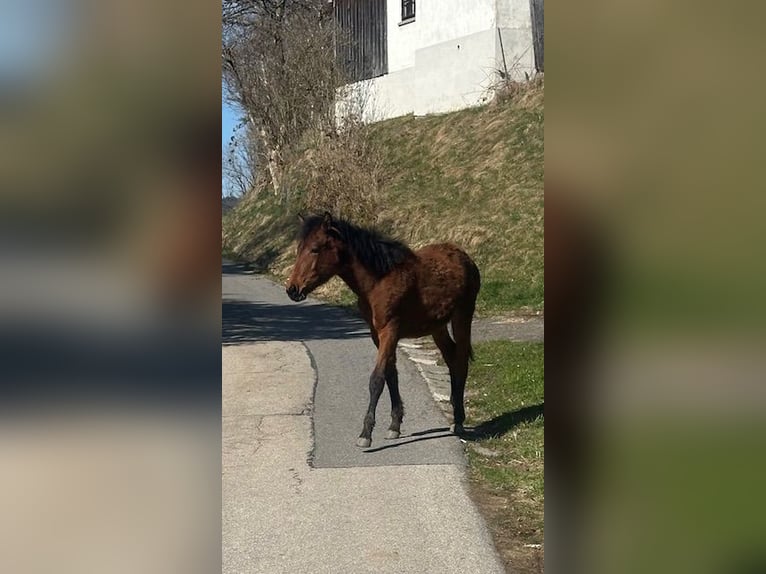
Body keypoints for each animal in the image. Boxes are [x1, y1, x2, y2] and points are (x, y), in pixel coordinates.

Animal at [286, 212, 481, 447]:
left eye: (315, 249)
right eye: (299, 249)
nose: (292, 289)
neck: (379, 281)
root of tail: (465, 258)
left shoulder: (390, 331)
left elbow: (377, 379)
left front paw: (365, 433)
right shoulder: (377, 334)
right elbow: (390, 374)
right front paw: (394, 425)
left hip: (463, 317)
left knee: (460, 362)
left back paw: (459, 420)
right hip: (438, 327)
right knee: (451, 359)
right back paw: (454, 413)